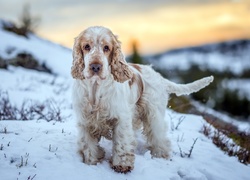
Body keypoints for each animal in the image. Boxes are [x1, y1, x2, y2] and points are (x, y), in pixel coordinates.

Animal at [70, 26, 213, 173]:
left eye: (106, 47)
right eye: (86, 46)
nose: (95, 67)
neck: (96, 89)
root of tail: (160, 78)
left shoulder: (121, 119)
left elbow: (122, 143)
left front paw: (122, 165)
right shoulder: (85, 120)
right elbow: (88, 145)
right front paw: (92, 161)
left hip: (154, 115)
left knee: (160, 138)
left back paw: (160, 155)